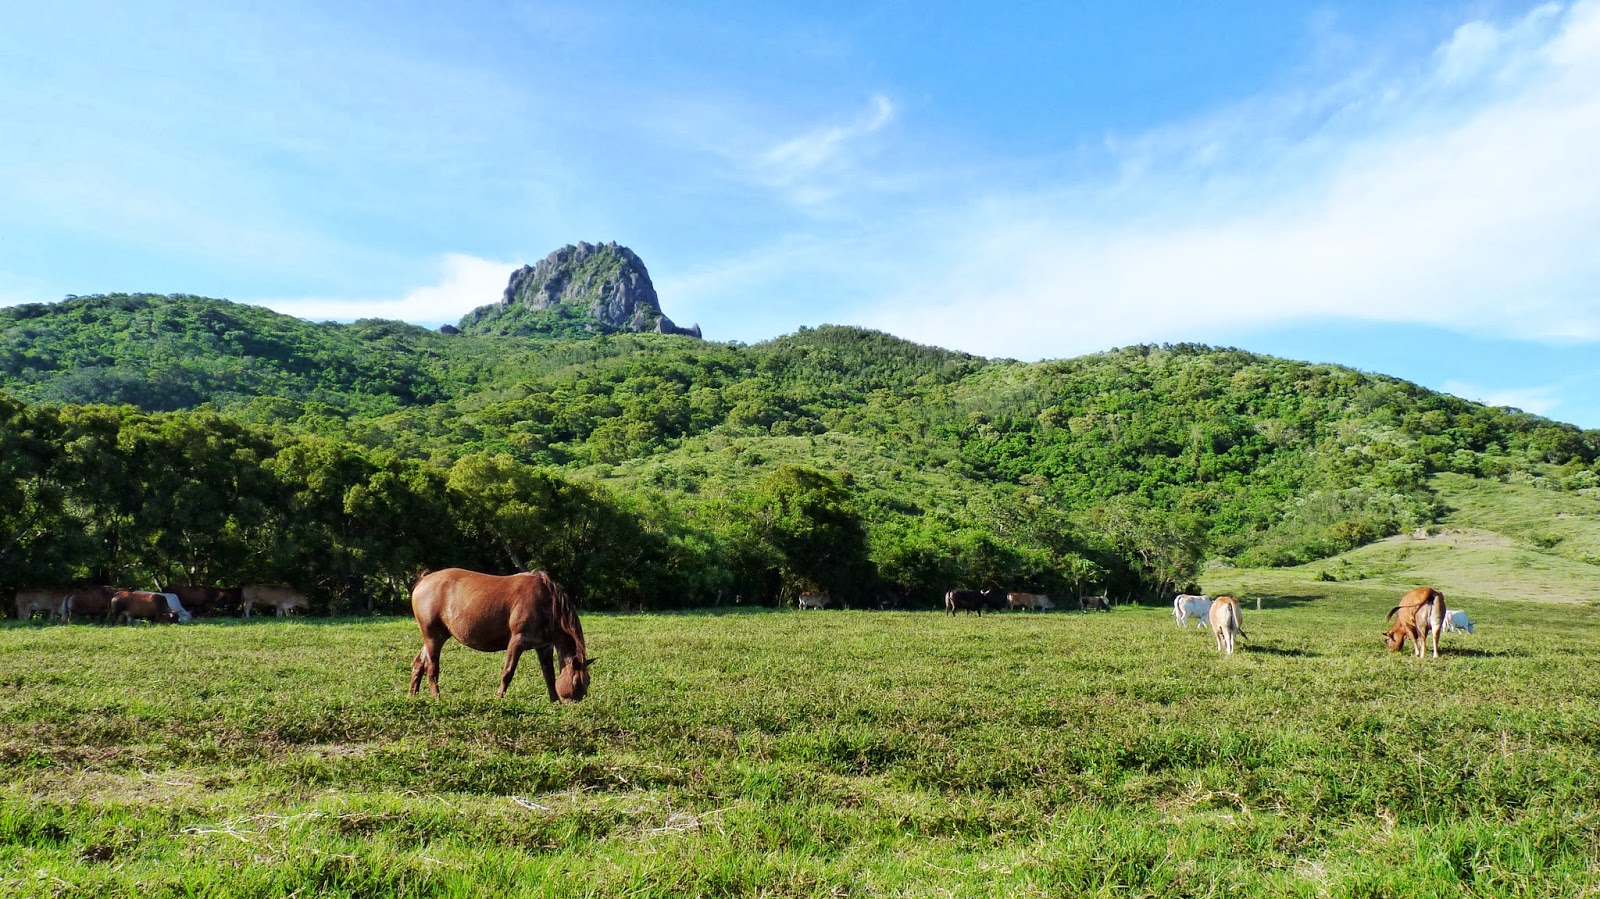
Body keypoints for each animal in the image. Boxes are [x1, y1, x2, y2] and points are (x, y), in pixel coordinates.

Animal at [409, 568, 595, 702]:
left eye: (588, 681)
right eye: (576, 682)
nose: (575, 703)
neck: (548, 602)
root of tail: (424, 579)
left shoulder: (544, 647)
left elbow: (549, 676)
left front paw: (554, 702)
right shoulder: (517, 641)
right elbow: (508, 672)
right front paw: (499, 698)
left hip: (436, 636)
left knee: (419, 662)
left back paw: (412, 696)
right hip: (433, 637)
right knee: (432, 668)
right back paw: (436, 697)